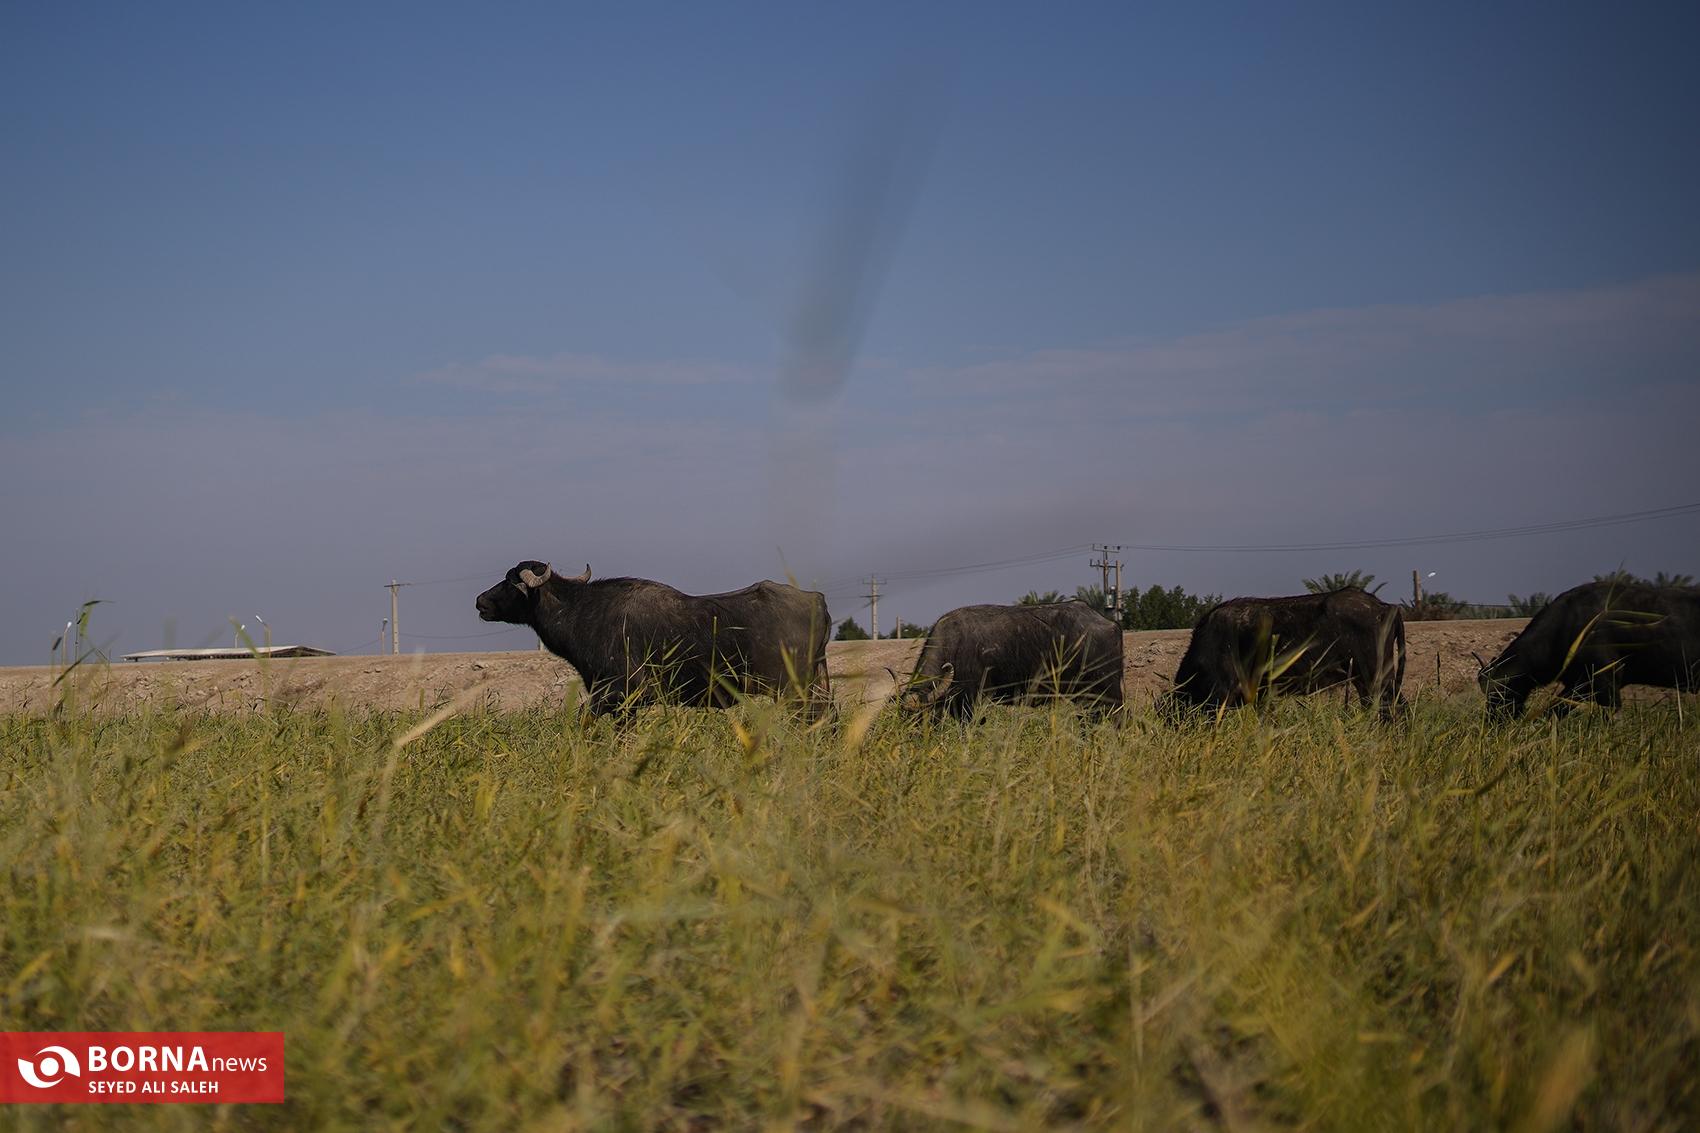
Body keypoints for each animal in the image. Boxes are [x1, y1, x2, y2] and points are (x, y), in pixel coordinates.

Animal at [476, 557, 833, 714]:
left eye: (510, 581)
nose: (480, 601)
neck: (584, 612)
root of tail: (816, 600)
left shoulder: (619, 696)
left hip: (793, 691)